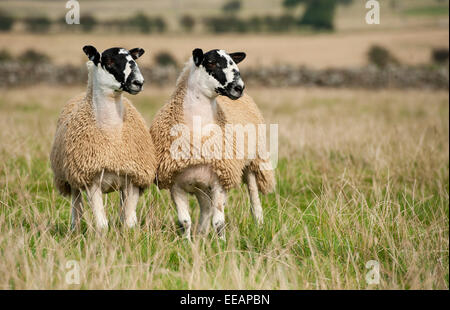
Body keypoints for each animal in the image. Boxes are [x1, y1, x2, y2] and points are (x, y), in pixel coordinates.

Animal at [50, 45, 156, 230]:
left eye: (133, 59)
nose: (138, 82)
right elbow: (101, 224)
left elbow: (129, 222)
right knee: (76, 206)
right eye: (109, 61)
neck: (112, 133)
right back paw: (75, 230)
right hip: (72, 179)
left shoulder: (133, 179)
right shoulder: (91, 180)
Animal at [150, 47, 274, 240]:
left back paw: (259, 226)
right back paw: (201, 234)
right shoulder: (175, 183)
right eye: (211, 63)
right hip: (200, 184)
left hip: (252, 162)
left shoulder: (220, 180)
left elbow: (219, 222)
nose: (239, 87)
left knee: (254, 198)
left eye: (234, 62)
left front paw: (221, 243)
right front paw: (186, 242)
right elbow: (185, 221)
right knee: (206, 208)